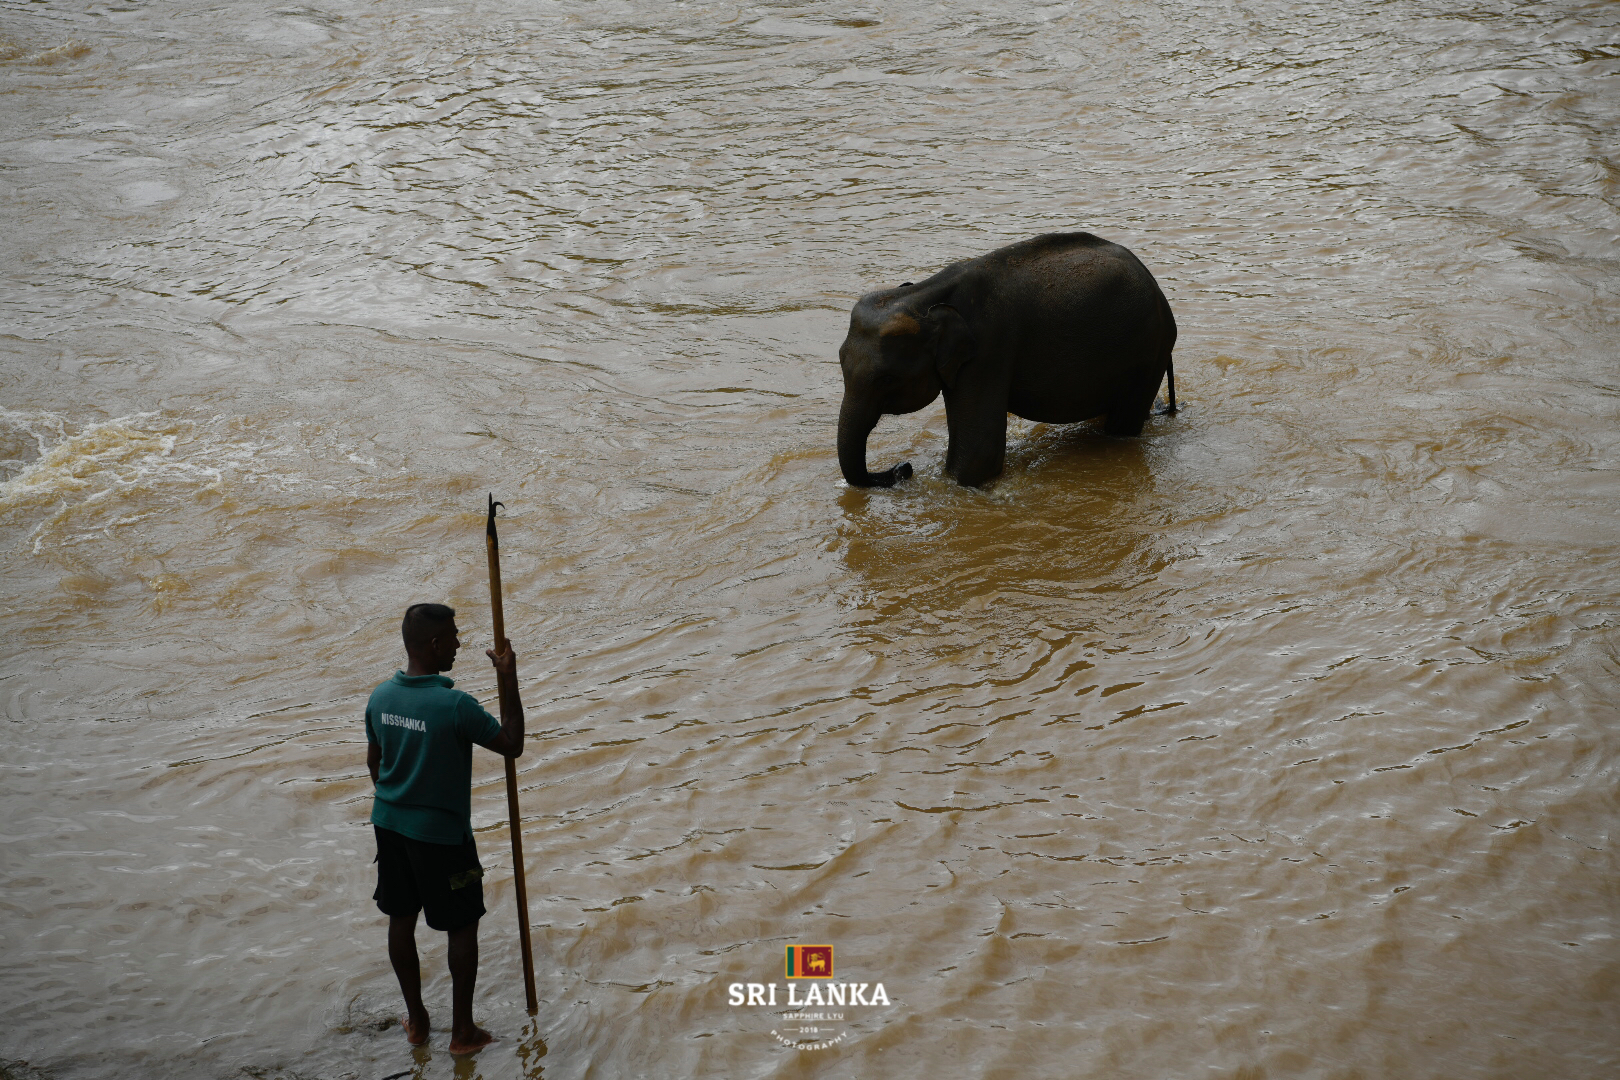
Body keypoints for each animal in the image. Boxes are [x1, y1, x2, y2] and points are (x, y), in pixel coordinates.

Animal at [835, 234, 1179, 488]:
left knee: (1124, 420)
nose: (904, 468)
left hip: (1149, 350)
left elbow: (979, 454)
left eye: (886, 379)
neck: (924, 296)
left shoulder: (989, 349)